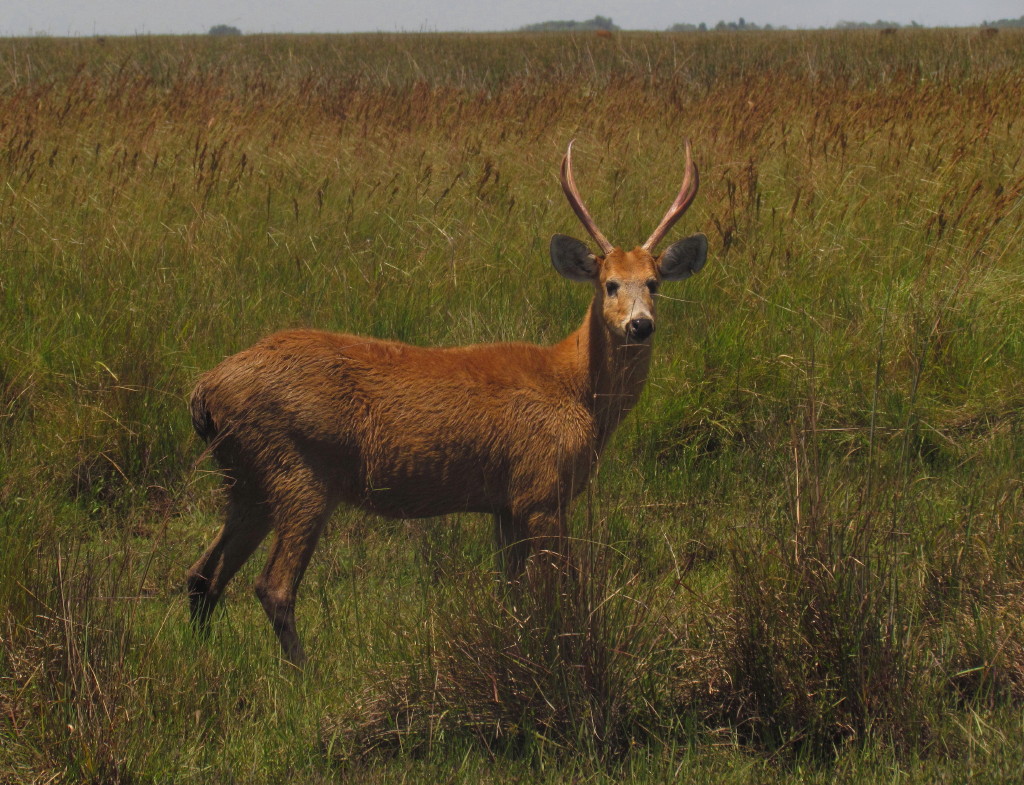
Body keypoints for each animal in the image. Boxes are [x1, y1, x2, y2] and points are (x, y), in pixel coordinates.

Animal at [187, 141, 708, 665]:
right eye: (609, 284)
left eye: (654, 283)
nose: (640, 325)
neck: (576, 391)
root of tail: (205, 388)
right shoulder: (541, 491)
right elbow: (557, 594)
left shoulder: (505, 503)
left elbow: (510, 596)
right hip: (298, 470)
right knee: (272, 585)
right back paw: (304, 672)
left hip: (246, 478)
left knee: (201, 574)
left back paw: (202, 657)